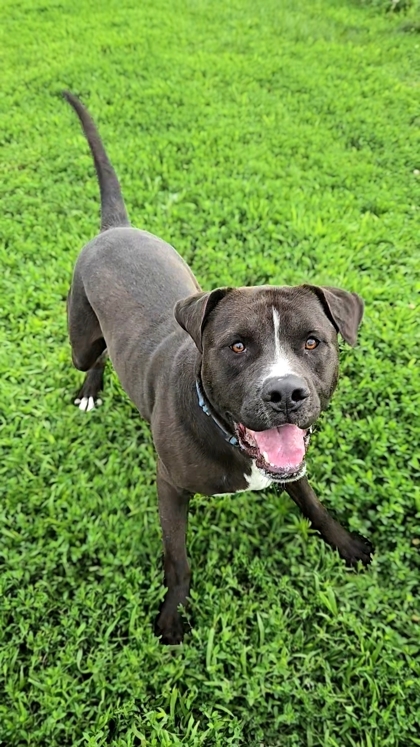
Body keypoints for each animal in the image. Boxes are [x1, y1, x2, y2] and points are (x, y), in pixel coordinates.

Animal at [64, 92, 372, 644]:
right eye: (237, 347)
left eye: (312, 341)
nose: (286, 394)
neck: (223, 428)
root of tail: (116, 227)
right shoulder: (168, 486)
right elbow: (178, 559)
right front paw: (172, 616)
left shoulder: (291, 463)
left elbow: (313, 503)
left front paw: (347, 544)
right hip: (81, 332)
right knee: (91, 355)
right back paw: (91, 389)